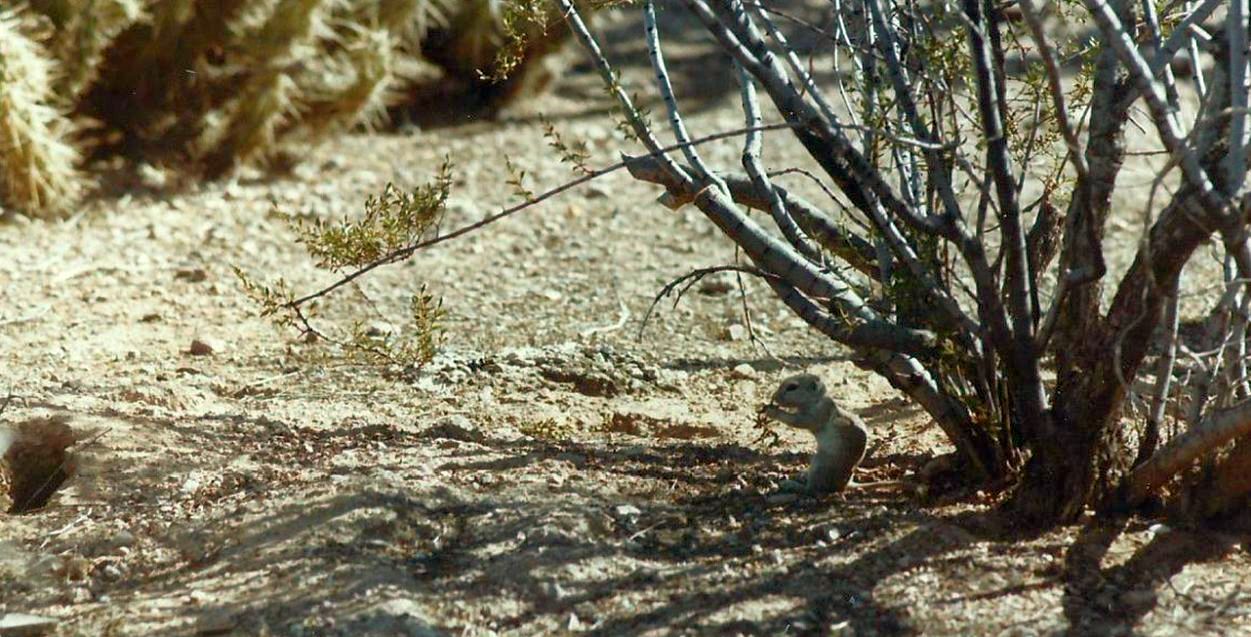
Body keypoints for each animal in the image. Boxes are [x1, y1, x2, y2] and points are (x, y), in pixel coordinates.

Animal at [759, 373, 905, 495]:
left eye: (792, 387)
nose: (773, 397)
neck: (816, 400)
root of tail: (846, 485)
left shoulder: (817, 414)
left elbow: (798, 421)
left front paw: (772, 411)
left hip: (820, 464)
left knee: (810, 490)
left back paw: (790, 484)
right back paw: (801, 475)